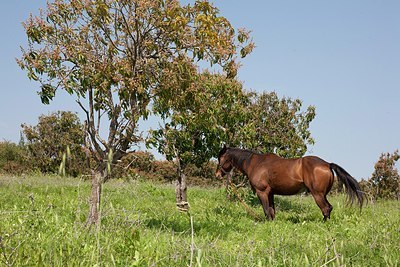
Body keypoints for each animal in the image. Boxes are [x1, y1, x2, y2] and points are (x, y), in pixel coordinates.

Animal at [217, 147, 364, 222]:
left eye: (220, 158)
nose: (217, 174)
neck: (256, 163)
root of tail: (327, 164)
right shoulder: (270, 193)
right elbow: (272, 211)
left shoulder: (262, 192)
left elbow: (266, 210)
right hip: (323, 194)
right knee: (328, 208)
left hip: (317, 194)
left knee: (326, 209)